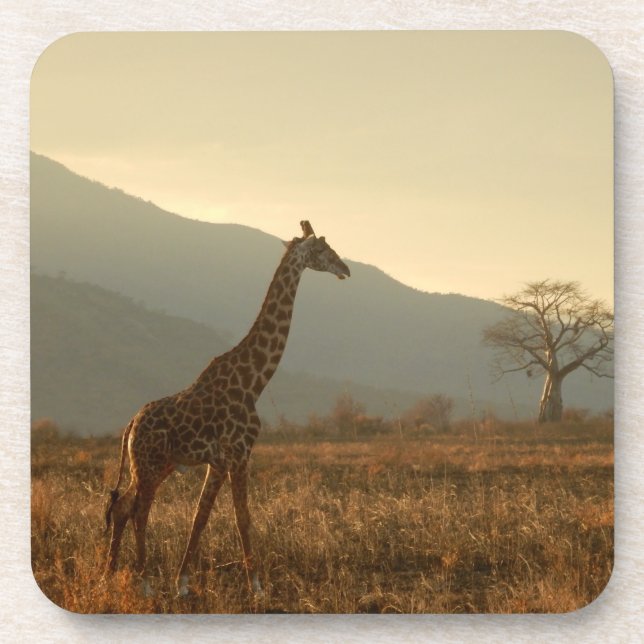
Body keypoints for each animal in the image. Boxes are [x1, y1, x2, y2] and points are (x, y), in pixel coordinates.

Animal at [104, 220, 350, 597]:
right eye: (323, 249)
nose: (345, 269)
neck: (254, 382)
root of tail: (130, 424)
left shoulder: (218, 461)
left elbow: (200, 517)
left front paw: (182, 583)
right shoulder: (238, 453)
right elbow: (243, 517)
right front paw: (257, 586)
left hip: (153, 466)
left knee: (122, 506)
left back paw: (108, 576)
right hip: (149, 464)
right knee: (139, 510)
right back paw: (143, 582)